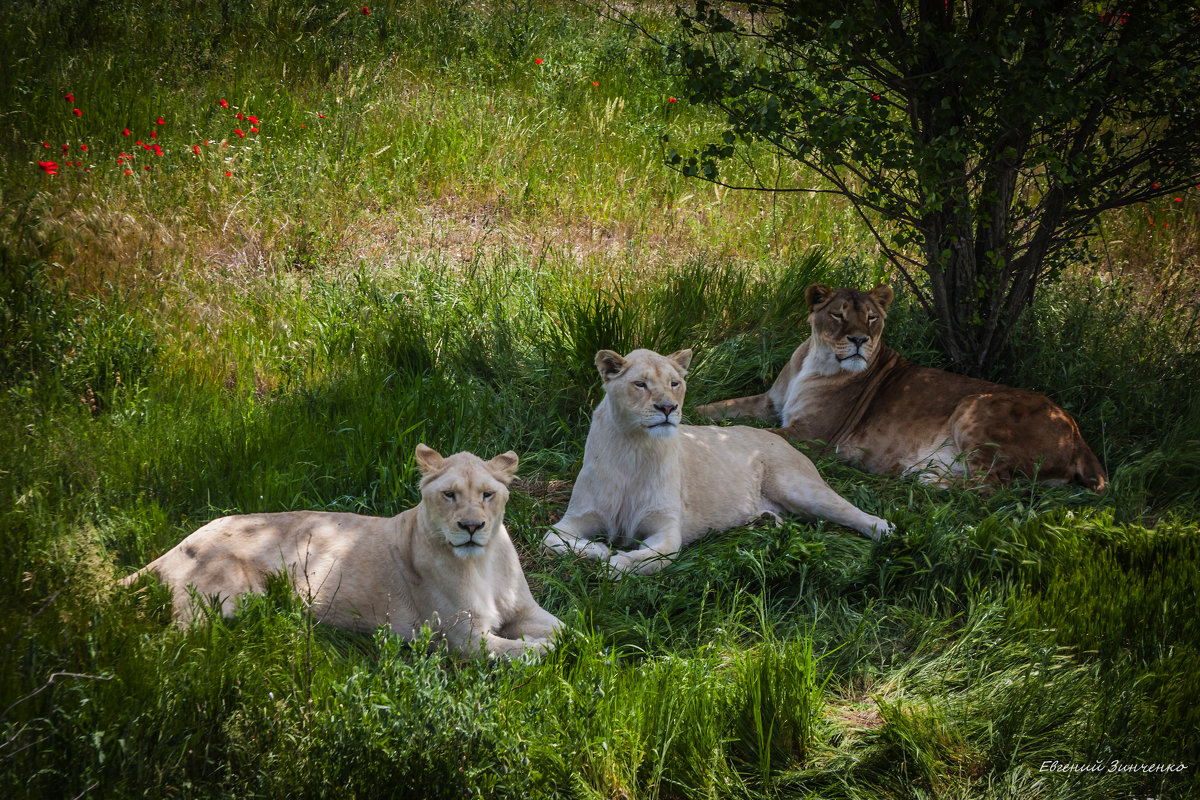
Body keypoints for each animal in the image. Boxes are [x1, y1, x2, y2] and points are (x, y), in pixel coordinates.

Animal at [121, 443, 561, 657]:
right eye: (449, 495)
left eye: (487, 494)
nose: (471, 527)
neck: (482, 563)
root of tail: (186, 539)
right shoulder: (462, 638)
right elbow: (527, 653)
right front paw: (541, 649)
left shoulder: (525, 610)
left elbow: (566, 629)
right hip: (223, 600)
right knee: (168, 641)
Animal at [544, 345, 892, 575]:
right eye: (640, 384)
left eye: (675, 383)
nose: (668, 407)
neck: (635, 446)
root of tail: (778, 437)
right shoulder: (573, 520)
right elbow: (551, 541)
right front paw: (602, 551)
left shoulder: (668, 531)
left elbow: (649, 558)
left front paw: (615, 560)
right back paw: (765, 521)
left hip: (800, 487)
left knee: (857, 514)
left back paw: (887, 535)